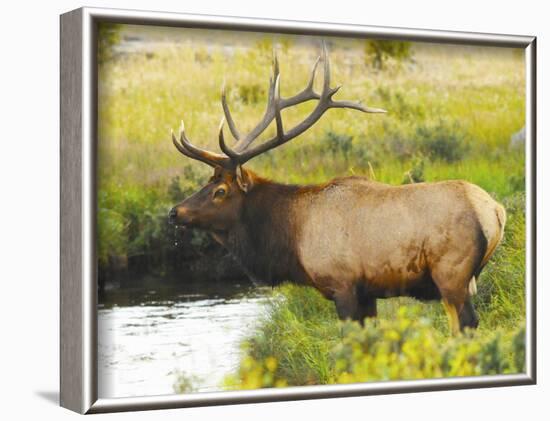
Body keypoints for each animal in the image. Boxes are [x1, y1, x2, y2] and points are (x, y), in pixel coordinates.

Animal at [169, 41, 508, 334]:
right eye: (207, 182)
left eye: (220, 191)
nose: (174, 212)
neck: (290, 237)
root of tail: (496, 211)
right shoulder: (368, 292)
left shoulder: (342, 284)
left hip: (451, 273)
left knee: (466, 324)